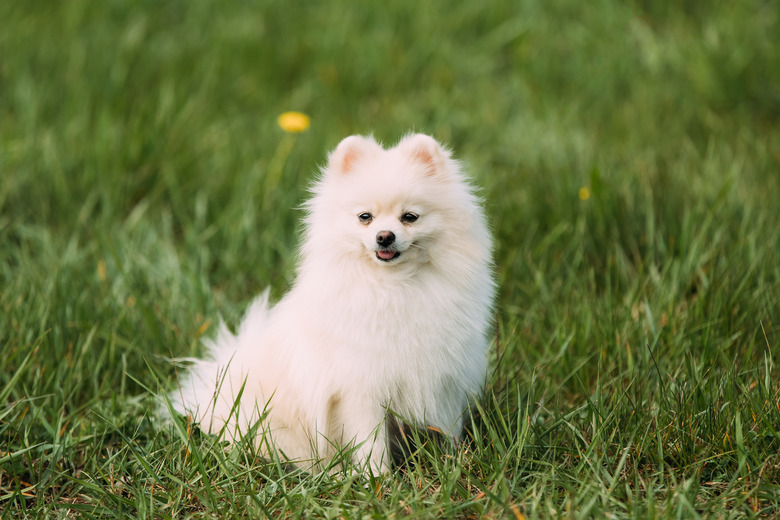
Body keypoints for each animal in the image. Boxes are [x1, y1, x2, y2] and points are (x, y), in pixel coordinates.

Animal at [168, 133, 496, 472]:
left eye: (410, 217)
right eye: (365, 217)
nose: (385, 236)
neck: (394, 286)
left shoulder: (444, 378)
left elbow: (449, 429)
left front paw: (455, 464)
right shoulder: (360, 387)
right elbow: (370, 441)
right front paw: (378, 478)